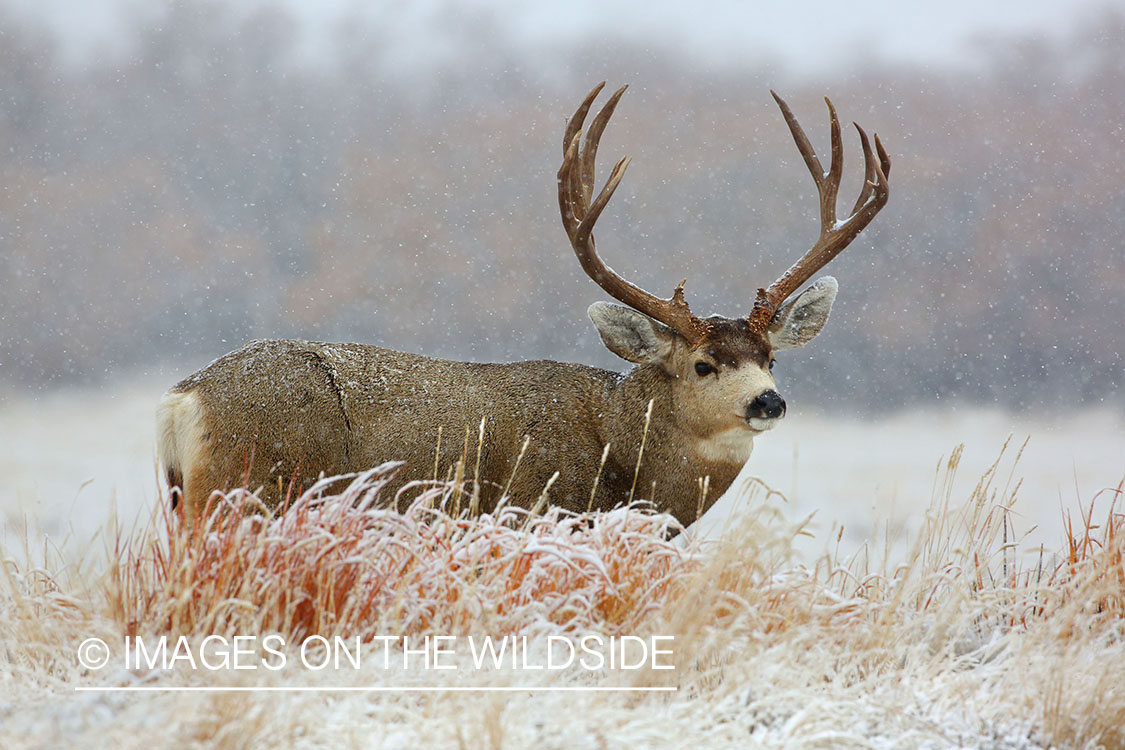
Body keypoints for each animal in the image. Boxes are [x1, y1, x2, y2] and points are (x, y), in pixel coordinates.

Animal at [158, 82, 891, 528]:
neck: (625, 456)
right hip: (248, 487)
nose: (768, 401)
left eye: (771, 356)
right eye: (702, 364)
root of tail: (181, 399)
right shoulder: (532, 512)